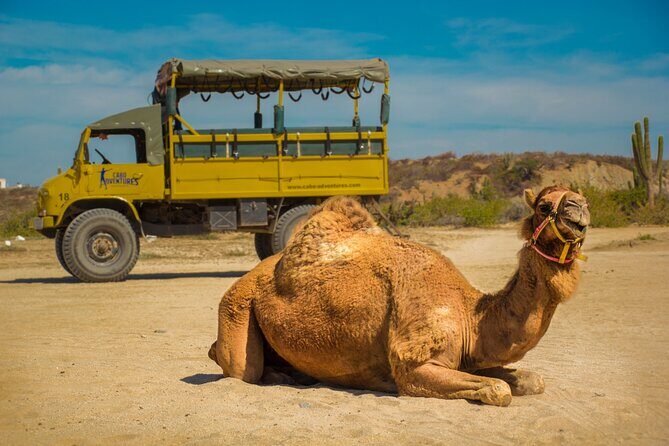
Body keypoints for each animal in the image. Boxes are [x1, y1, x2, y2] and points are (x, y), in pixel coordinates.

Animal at [209, 185, 589, 406]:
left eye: (584, 198)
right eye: (543, 206)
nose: (579, 210)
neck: (470, 315)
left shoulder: (470, 356)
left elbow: (531, 380)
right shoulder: (414, 364)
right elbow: (499, 390)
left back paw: (294, 375)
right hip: (236, 302)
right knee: (239, 366)